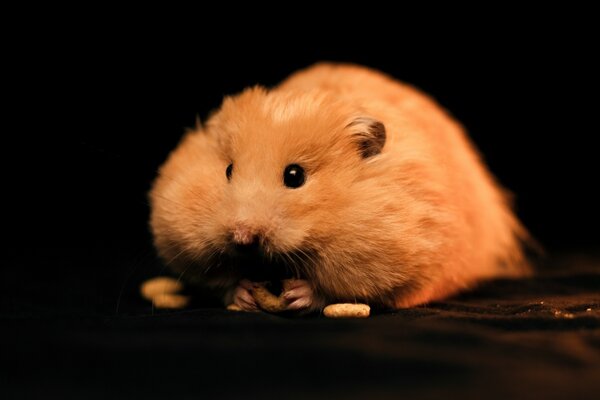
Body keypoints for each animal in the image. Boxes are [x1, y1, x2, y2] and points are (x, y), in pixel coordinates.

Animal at [149, 62, 528, 312]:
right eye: (228, 170)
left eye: (294, 176)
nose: (242, 236)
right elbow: (218, 279)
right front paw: (243, 293)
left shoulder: (383, 258)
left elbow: (338, 290)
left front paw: (298, 294)